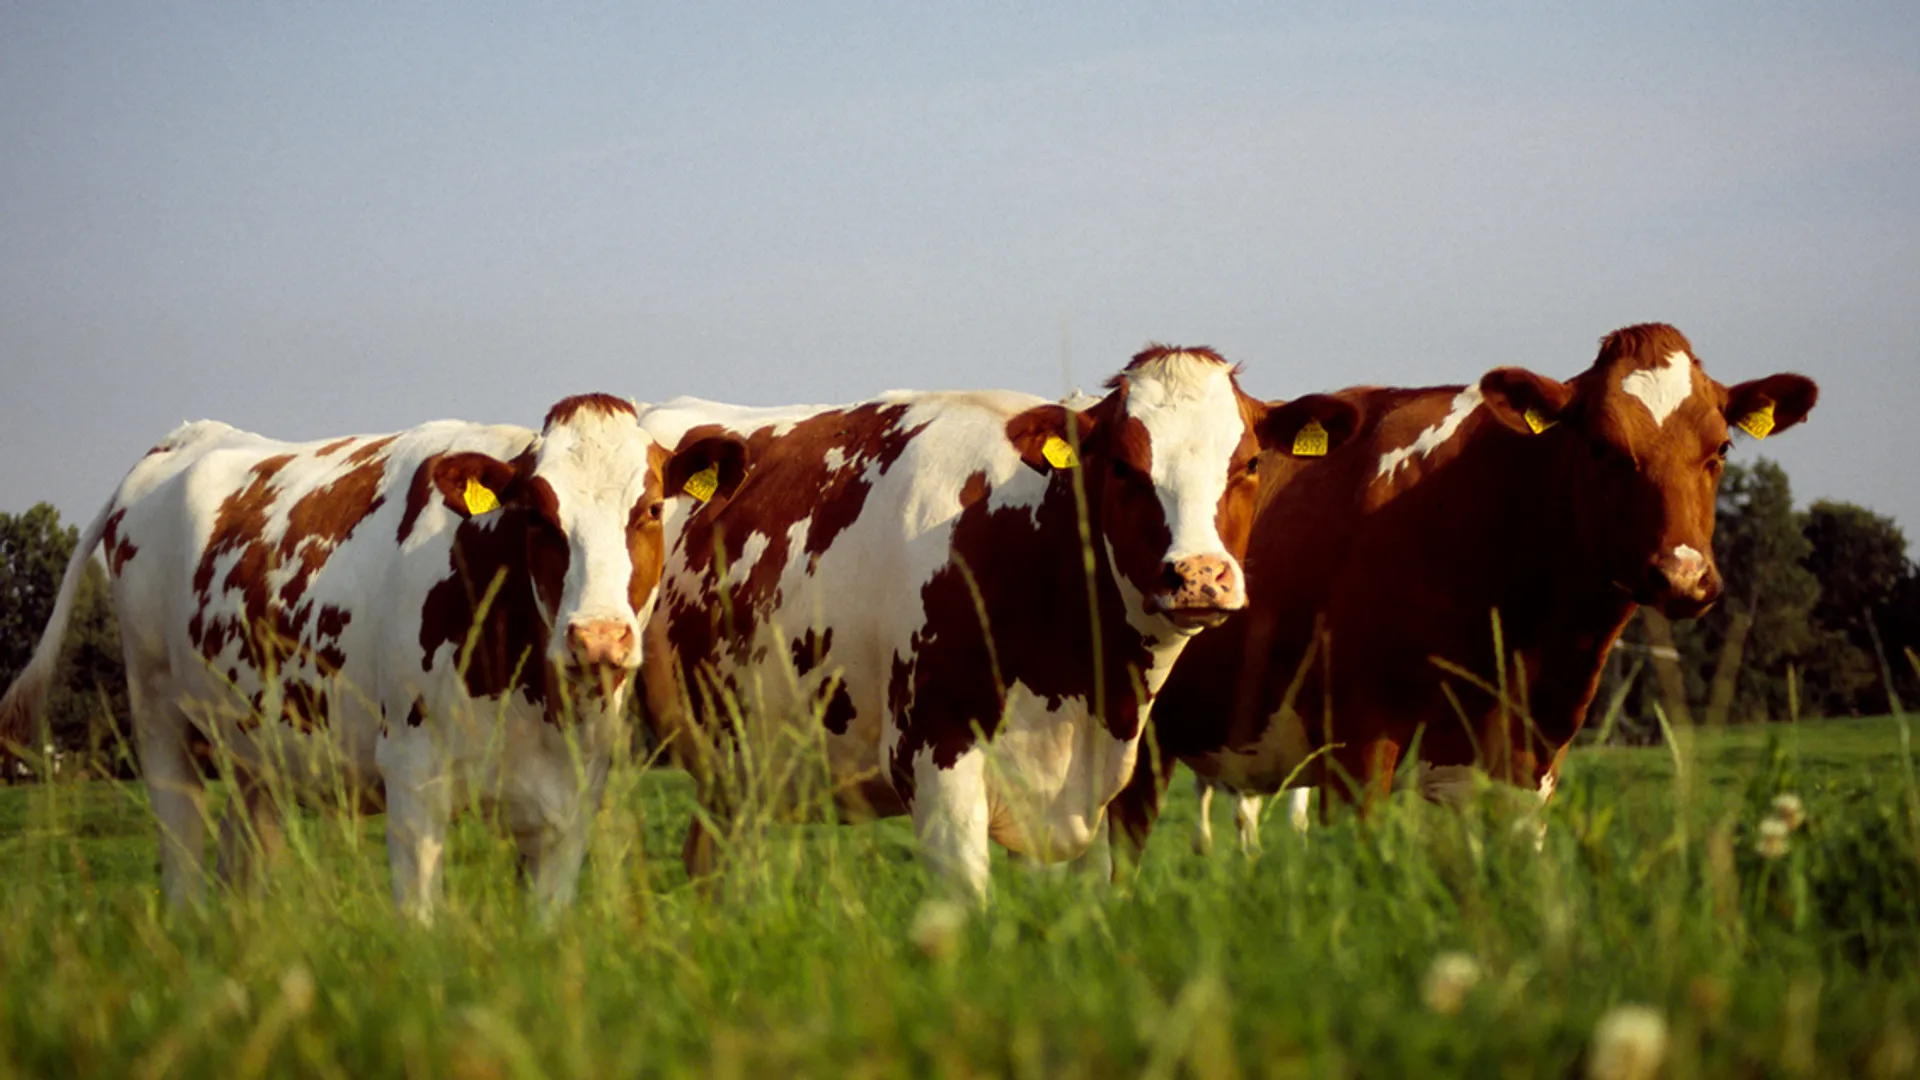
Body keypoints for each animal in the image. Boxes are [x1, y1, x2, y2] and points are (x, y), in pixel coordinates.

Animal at [0, 395, 747, 918]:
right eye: (538, 515)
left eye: (649, 509)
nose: (597, 638)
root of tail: (185, 436)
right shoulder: (413, 782)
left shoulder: (567, 804)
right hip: (159, 720)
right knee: (182, 859)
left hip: (255, 749)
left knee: (243, 862)